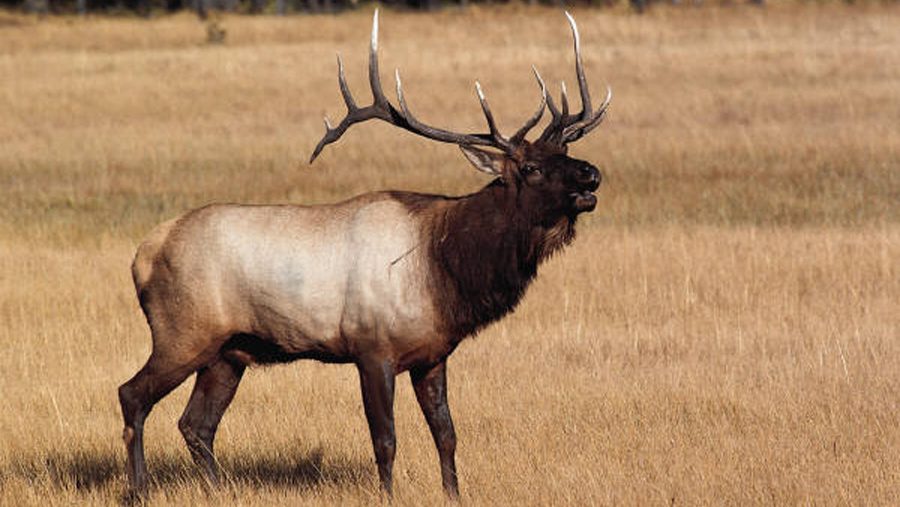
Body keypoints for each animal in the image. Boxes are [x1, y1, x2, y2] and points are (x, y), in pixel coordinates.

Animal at [118, 10, 610, 499]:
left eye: (566, 149)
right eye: (530, 167)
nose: (592, 174)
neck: (444, 269)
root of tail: (143, 253)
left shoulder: (433, 354)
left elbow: (447, 434)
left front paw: (453, 494)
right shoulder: (372, 347)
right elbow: (385, 439)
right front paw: (388, 495)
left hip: (228, 352)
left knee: (196, 424)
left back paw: (221, 490)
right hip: (182, 332)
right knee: (132, 395)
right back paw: (139, 489)